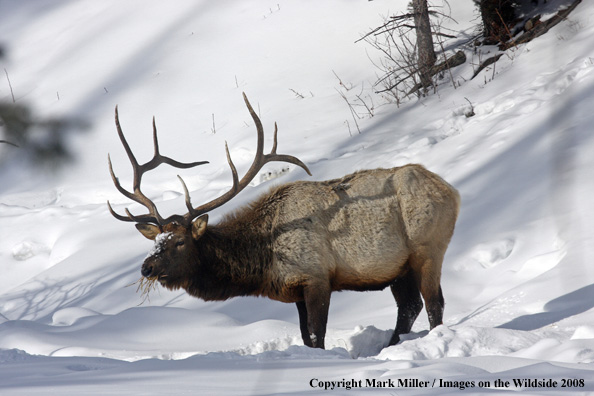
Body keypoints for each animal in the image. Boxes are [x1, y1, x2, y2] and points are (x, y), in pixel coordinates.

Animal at [107, 93, 458, 350]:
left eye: (180, 241)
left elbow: (316, 335)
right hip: (397, 267)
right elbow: (305, 337)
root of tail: (452, 190)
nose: (146, 267)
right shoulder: (296, 290)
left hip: (428, 248)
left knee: (434, 303)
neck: (265, 262)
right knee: (408, 307)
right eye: (156, 240)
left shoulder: (317, 276)